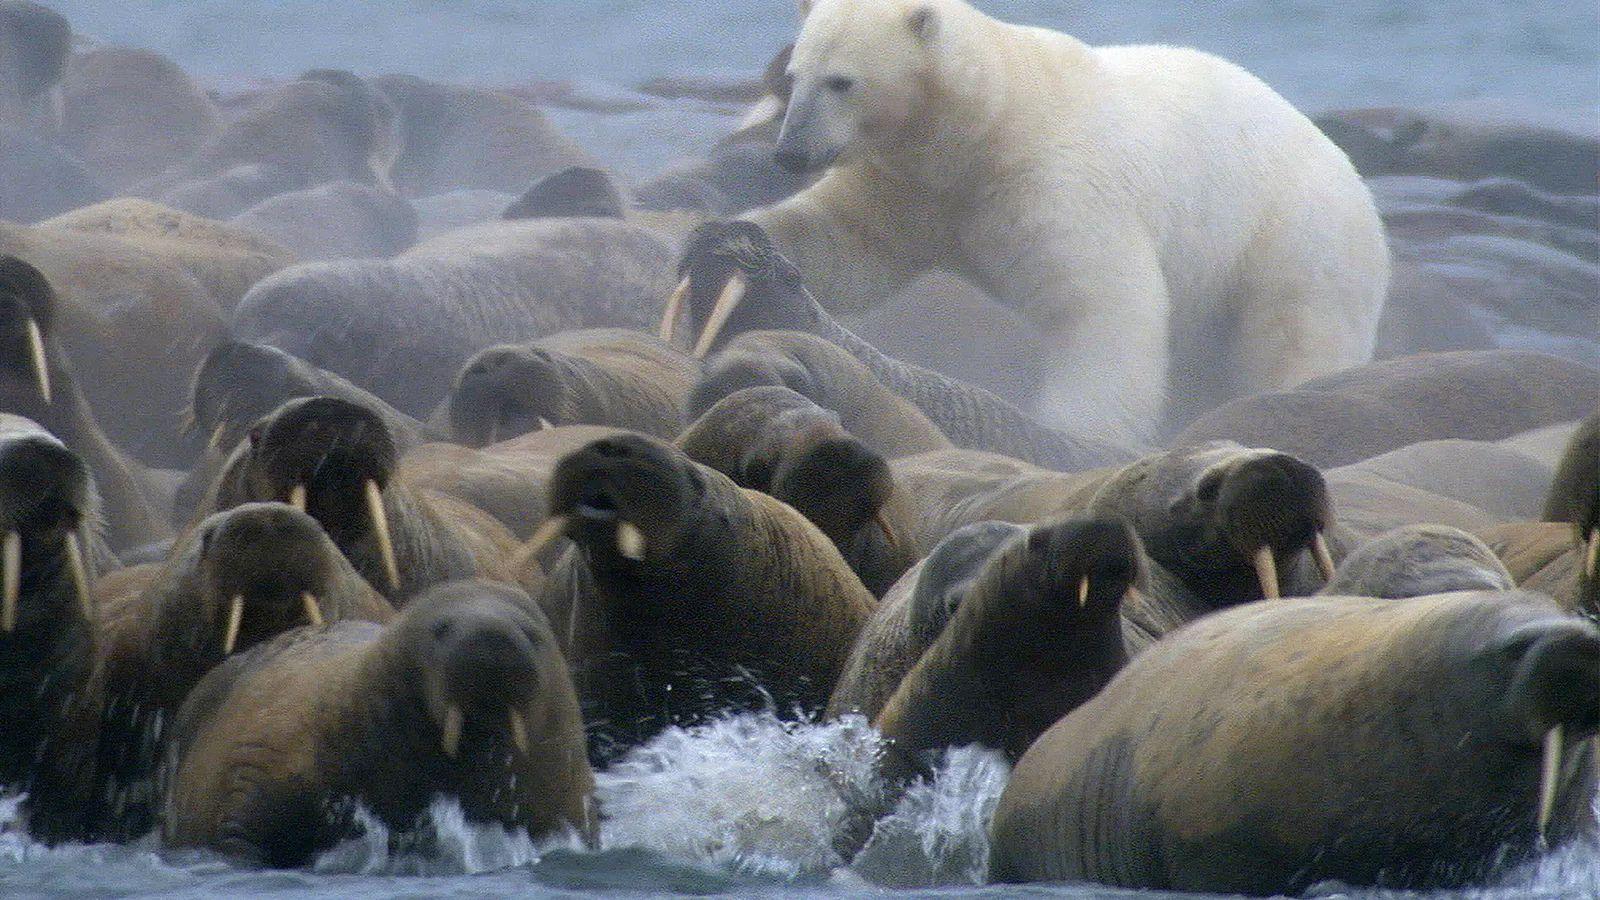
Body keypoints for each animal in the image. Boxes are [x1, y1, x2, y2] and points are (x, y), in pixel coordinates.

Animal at [750, 0, 1389, 443]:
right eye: (795, 75)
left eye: (842, 81)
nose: (789, 153)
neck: (991, 122)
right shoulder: (915, 187)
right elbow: (848, 242)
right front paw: (741, 243)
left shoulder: (1058, 184)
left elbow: (1102, 306)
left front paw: (1074, 431)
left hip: (1293, 240)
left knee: (1293, 338)